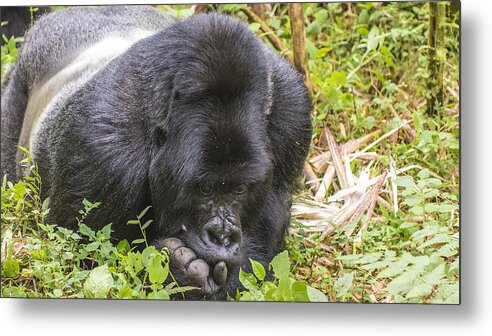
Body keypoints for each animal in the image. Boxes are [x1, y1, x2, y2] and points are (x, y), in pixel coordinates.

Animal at [0, 5, 312, 300]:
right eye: (205, 190)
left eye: (240, 190)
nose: (222, 237)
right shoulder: (100, 147)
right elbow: (88, 252)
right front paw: (180, 270)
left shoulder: (292, 113)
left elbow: (262, 244)